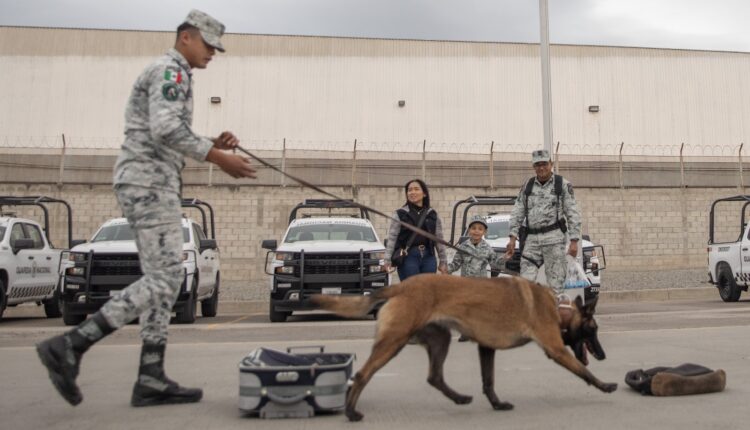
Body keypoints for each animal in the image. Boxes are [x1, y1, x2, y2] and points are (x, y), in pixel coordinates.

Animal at [312, 274, 616, 422]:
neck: (557, 308)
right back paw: (351, 413)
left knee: (434, 377)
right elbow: (583, 372)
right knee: (363, 374)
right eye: (593, 330)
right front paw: (605, 385)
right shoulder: (556, 349)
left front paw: (497, 404)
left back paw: (459, 398)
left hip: (440, 339)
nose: (603, 355)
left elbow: (488, 381)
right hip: (394, 341)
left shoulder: (486, 348)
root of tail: (400, 287)